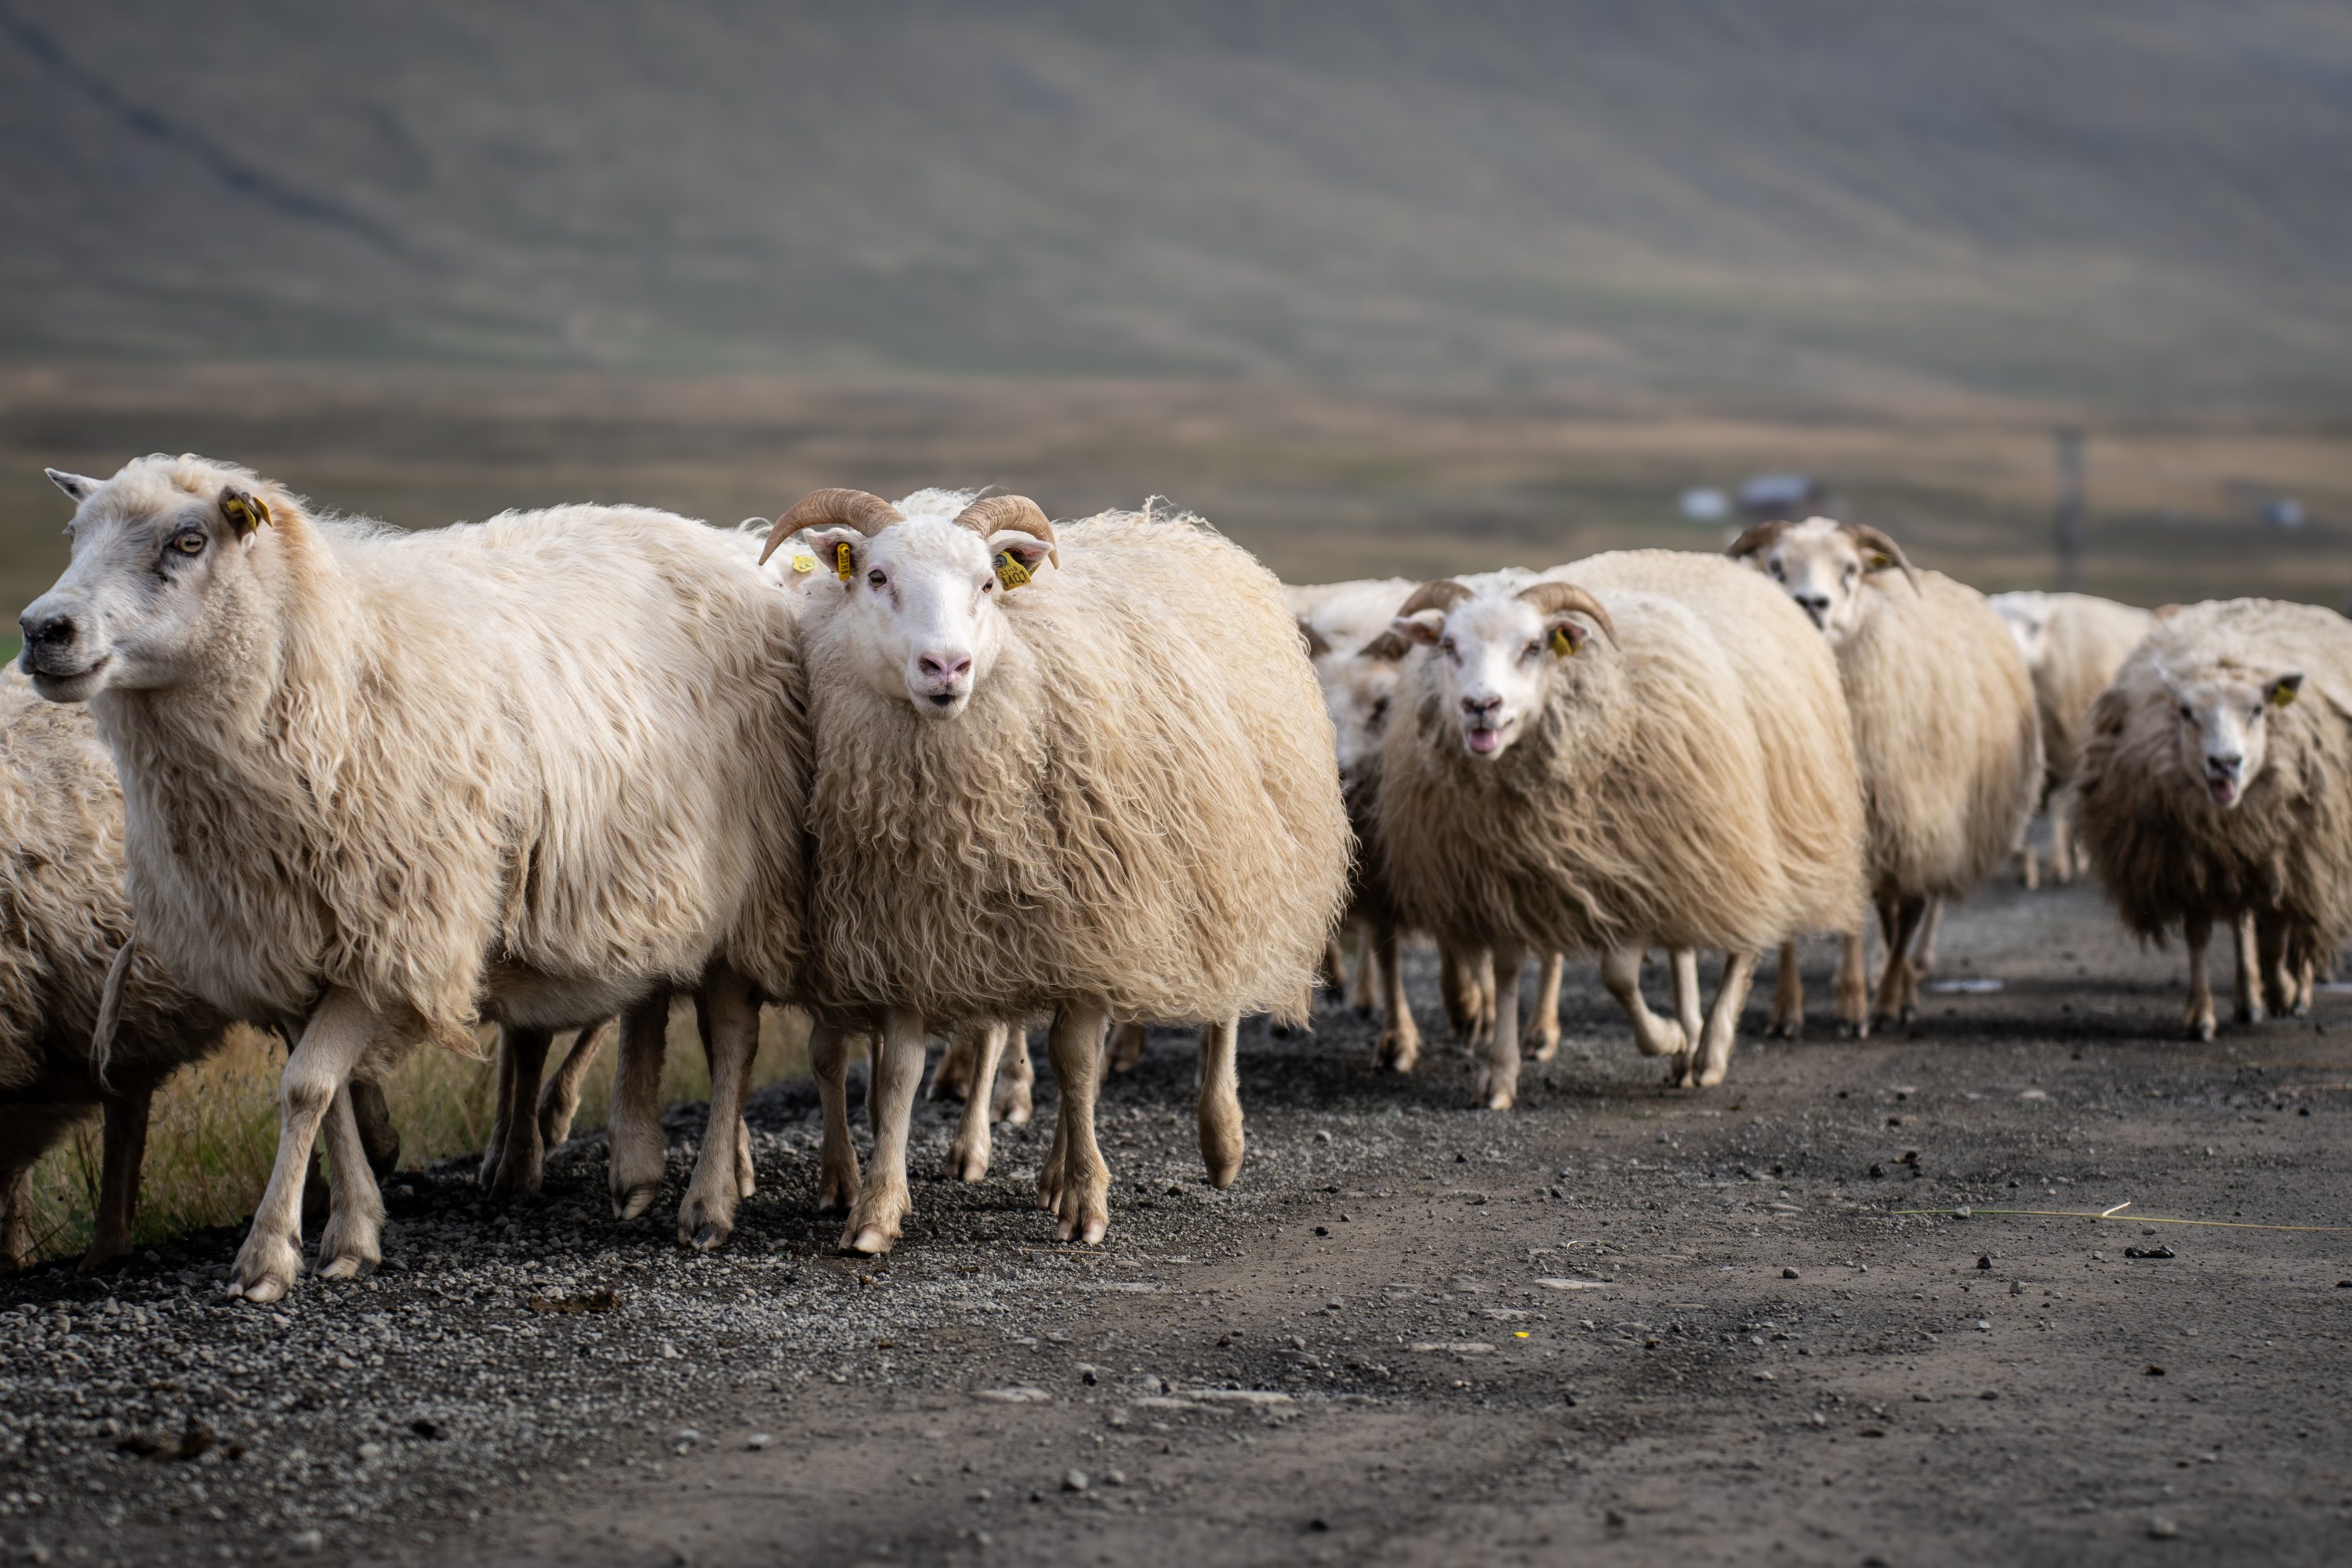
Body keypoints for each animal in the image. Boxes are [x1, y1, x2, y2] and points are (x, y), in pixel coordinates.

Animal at [19, 455, 808, 1301]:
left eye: (189, 540)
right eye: (75, 533)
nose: (40, 630)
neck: (325, 670)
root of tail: (728, 542)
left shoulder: (397, 925)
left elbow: (305, 1085)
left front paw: (269, 1253)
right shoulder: (294, 943)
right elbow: (327, 1090)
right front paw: (353, 1228)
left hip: (749, 883)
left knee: (731, 1035)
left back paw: (711, 1198)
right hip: (644, 882)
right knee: (651, 999)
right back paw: (634, 1166)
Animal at [773, 487, 1348, 1252]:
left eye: (987, 585)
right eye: (876, 577)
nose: (946, 668)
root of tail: (1174, 529)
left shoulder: (1097, 912)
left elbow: (1075, 1061)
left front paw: (1086, 1201)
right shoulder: (913, 927)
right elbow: (899, 1075)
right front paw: (876, 1211)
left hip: (1226, 860)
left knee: (1220, 1004)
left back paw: (1221, 1141)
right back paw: (1051, 1171)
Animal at [1372, 550, 1867, 1104]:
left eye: (1533, 647)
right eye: (1450, 646)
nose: (1481, 706)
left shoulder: (1627, 868)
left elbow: (1619, 977)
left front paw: (1667, 1037)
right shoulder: (1510, 877)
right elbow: (1506, 971)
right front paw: (1499, 1074)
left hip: (1751, 832)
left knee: (1746, 938)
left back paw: (1710, 1050)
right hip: (1695, 850)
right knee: (1684, 947)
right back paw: (1693, 1036)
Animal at [1728, 518, 2042, 1030]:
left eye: (1850, 570)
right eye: (1775, 566)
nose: (1811, 603)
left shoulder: (1895, 816)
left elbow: (1882, 918)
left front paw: (1858, 1005)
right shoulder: (1798, 811)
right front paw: (1787, 1009)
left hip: (1926, 821)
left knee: (1911, 912)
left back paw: (1896, 996)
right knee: (1892, 912)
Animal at [2071, 597, 2352, 1040]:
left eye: (2257, 710)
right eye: (2187, 712)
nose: (2225, 763)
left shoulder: (2289, 854)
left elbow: (2277, 935)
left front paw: (2284, 991)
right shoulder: (2192, 860)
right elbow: (2200, 937)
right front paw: (2201, 1016)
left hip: (2318, 851)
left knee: (2303, 920)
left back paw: (2294, 991)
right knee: (2242, 922)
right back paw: (2248, 998)